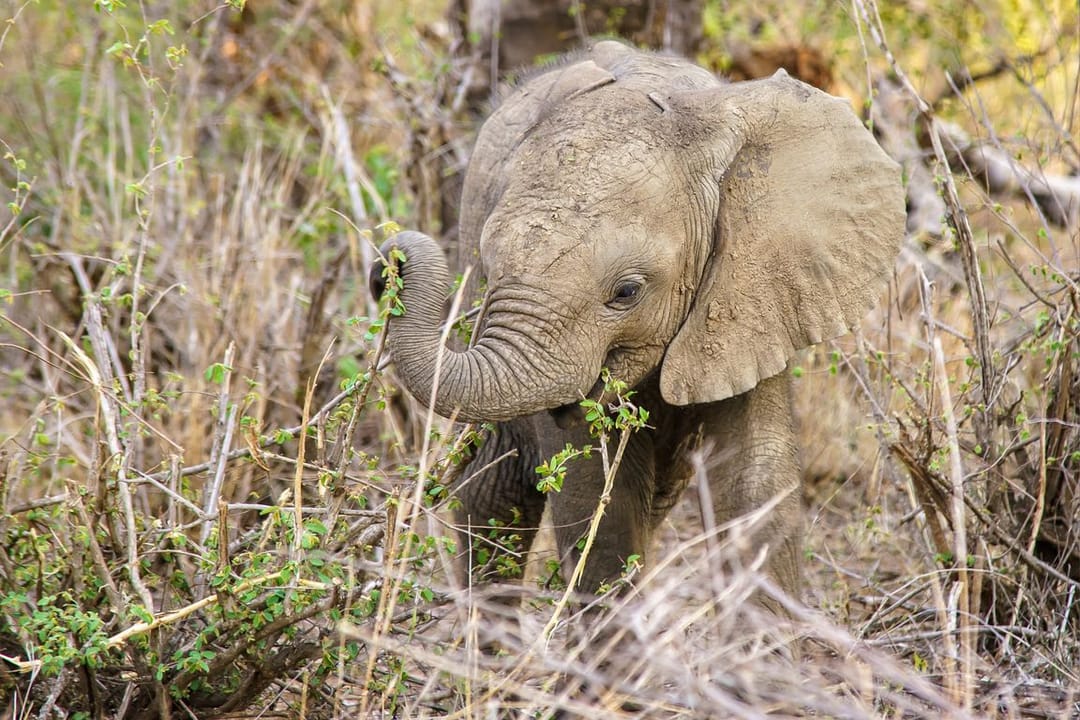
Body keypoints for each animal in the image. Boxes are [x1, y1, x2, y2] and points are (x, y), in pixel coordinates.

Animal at [370, 41, 905, 606]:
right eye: (490, 271)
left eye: (627, 292)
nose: (391, 261)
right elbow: (591, 489)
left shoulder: (757, 288)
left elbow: (754, 476)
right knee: (502, 483)